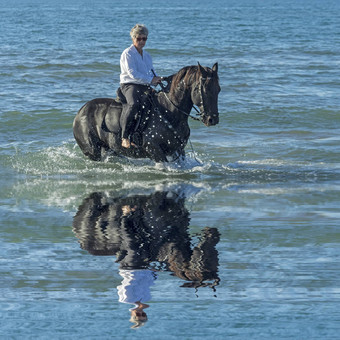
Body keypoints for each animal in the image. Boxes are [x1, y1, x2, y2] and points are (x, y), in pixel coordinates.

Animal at [73, 63, 220, 163]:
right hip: (92, 151)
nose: (212, 119)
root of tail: (80, 112)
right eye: (204, 89)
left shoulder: (178, 150)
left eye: (218, 89)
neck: (169, 112)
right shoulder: (154, 149)